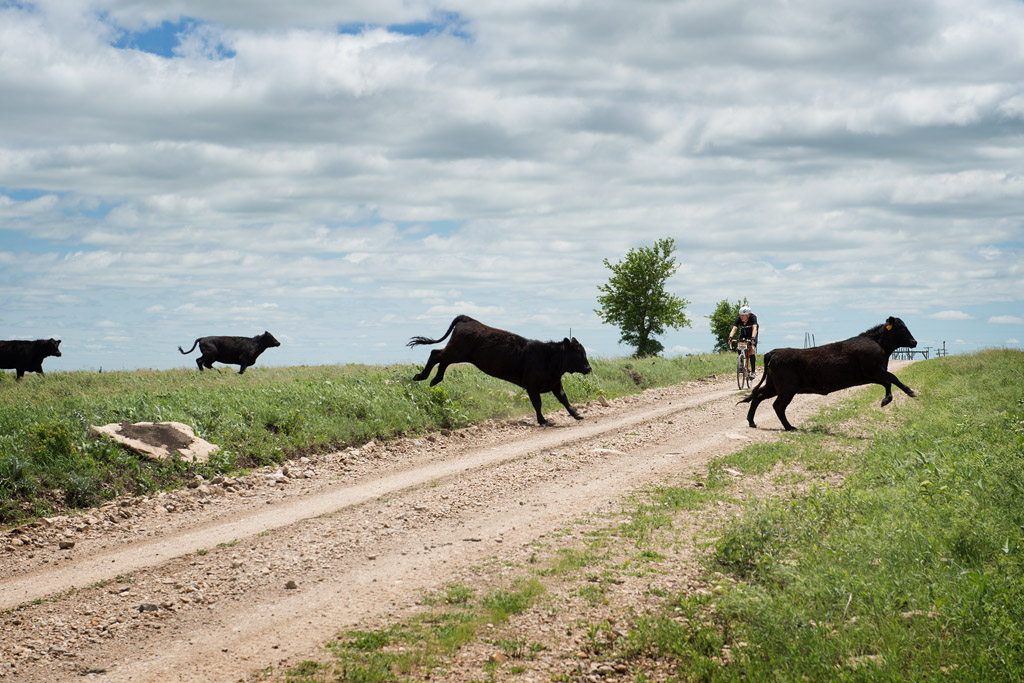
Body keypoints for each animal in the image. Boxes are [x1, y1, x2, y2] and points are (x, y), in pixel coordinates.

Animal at [407, 317, 593, 428]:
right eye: (578, 352)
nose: (588, 368)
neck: (548, 357)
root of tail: (468, 320)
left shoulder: (555, 383)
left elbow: (564, 399)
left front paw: (577, 415)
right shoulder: (531, 385)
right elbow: (537, 403)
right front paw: (542, 421)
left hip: (457, 353)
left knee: (441, 361)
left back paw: (434, 380)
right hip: (456, 352)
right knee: (435, 354)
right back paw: (421, 376)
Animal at [741, 317, 917, 432]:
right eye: (902, 328)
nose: (914, 342)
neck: (877, 343)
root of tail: (775, 352)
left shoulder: (870, 375)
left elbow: (887, 382)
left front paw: (886, 400)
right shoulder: (874, 370)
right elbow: (893, 378)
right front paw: (910, 392)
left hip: (774, 387)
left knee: (758, 397)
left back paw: (752, 422)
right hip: (786, 390)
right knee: (777, 406)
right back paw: (789, 427)